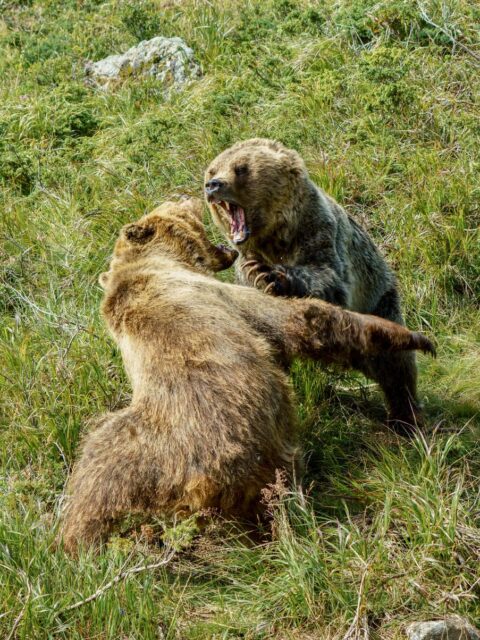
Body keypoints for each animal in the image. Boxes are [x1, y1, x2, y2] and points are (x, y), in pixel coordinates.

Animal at [59, 198, 434, 554]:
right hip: (237, 446)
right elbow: (300, 318)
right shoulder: (211, 294)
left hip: (141, 461)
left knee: (94, 477)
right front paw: (413, 337)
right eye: (171, 207)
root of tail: (200, 485)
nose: (187, 196)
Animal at [205, 138, 427, 434]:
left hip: (378, 300)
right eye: (212, 169)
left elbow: (327, 278)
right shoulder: (244, 262)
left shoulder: (318, 231)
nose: (213, 185)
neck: (276, 235)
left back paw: (406, 417)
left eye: (241, 168)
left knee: (395, 362)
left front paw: (273, 275)